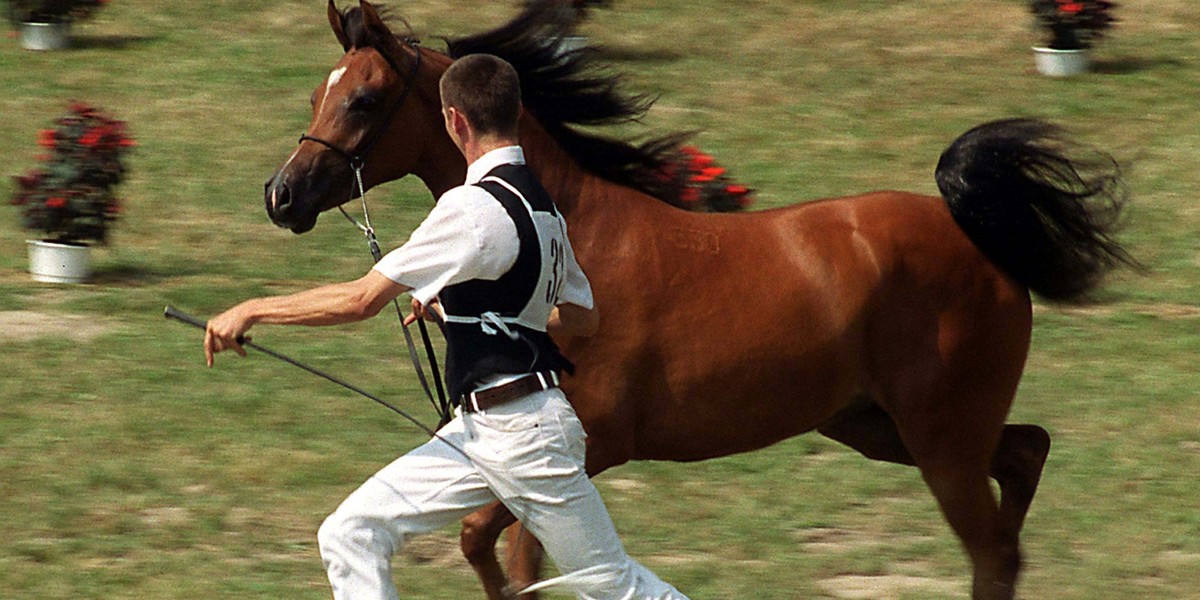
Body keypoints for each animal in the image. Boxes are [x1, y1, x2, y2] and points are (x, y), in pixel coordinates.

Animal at [262, 2, 1132, 597]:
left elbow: (502, 549)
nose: (281, 195)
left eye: (364, 100)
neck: (575, 228)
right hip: (880, 426)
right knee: (1025, 460)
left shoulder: (587, 449)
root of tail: (971, 232)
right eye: (316, 94)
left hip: (939, 438)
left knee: (992, 546)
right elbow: (503, 552)